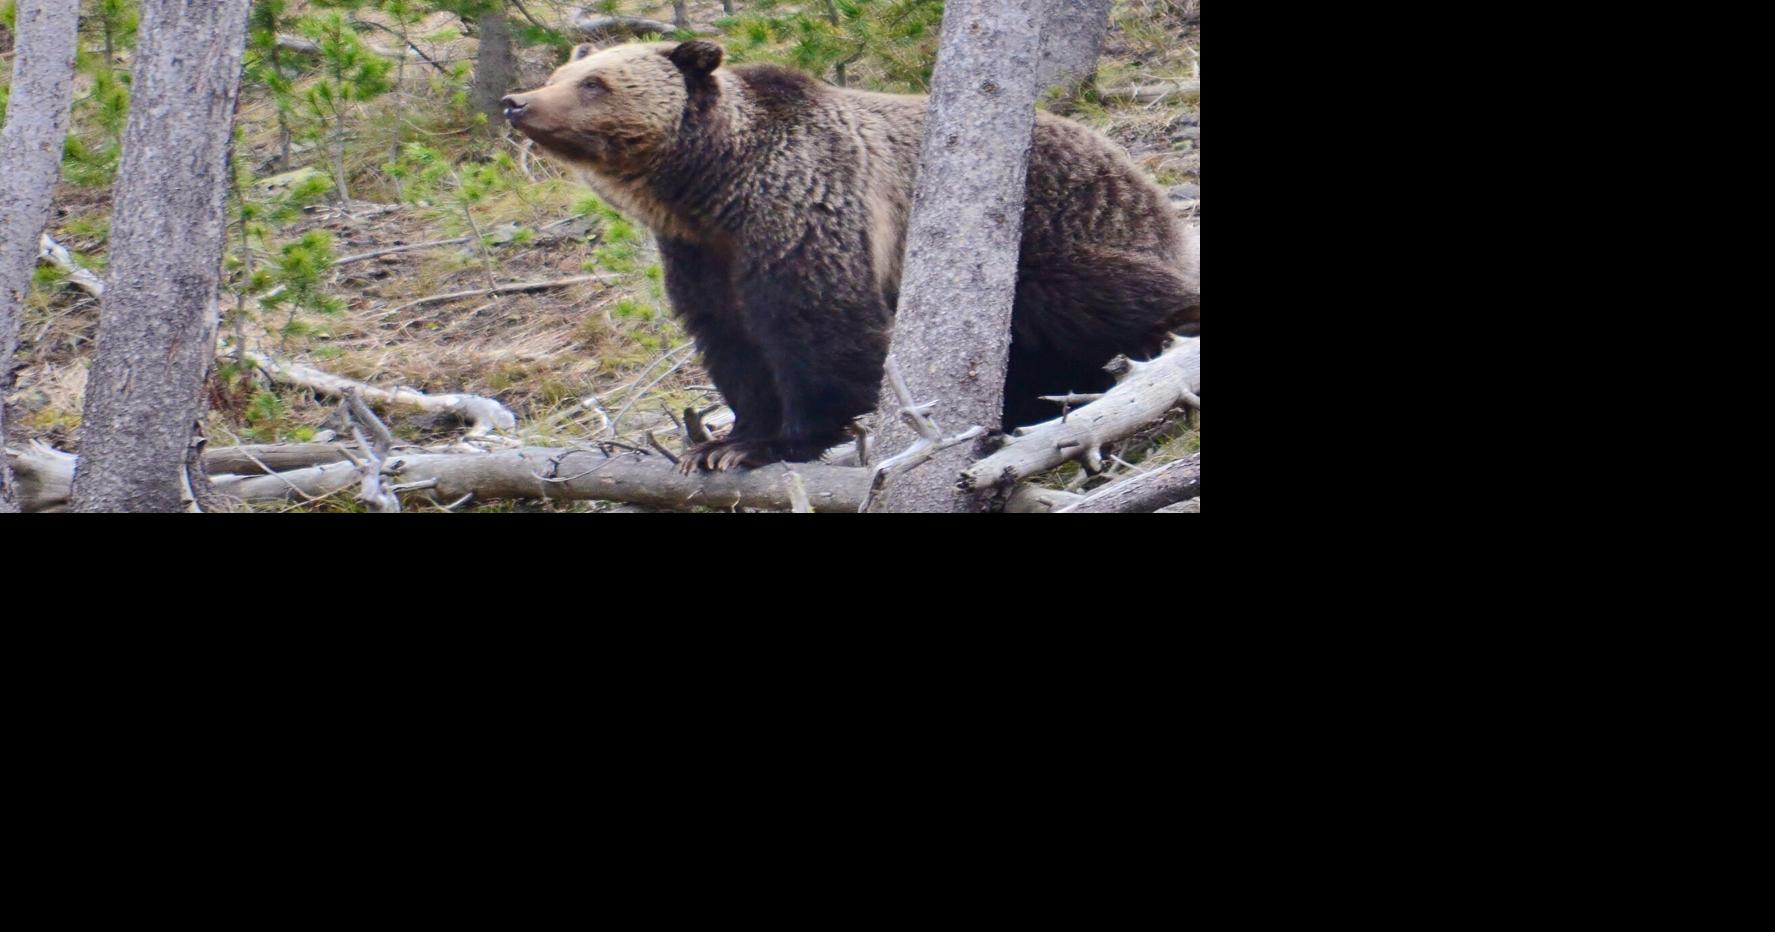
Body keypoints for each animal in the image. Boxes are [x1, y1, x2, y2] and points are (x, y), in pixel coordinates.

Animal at [502, 40, 1199, 472]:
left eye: (594, 83)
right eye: (563, 75)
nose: (518, 101)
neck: (712, 189)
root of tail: (1140, 177)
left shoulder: (805, 207)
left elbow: (817, 325)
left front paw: (783, 442)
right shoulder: (701, 255)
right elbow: (730, 340)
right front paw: (720, 444)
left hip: (1060, 228)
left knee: (1085, 294)